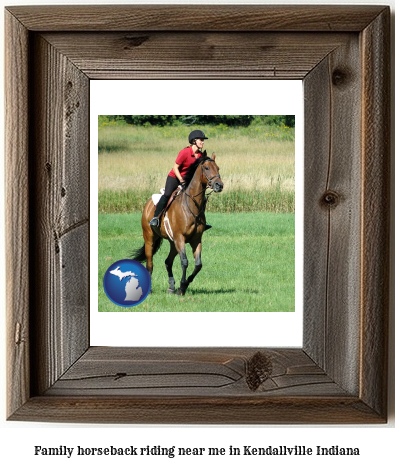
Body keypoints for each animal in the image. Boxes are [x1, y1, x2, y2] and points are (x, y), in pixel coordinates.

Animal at [132, 152, 223, 296]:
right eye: (207, 168)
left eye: (218, 168)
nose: (219, 185)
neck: (191, 206)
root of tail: (148, 205)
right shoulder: (180, 238)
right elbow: (184, 262)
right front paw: (181, 287)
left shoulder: (196, 240)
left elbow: (198, 265)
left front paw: (183, 285)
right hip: (149, 238)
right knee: (150, 263)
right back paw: (150, 289)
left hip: (172, 242)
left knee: (168, 262)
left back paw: (171, 287)